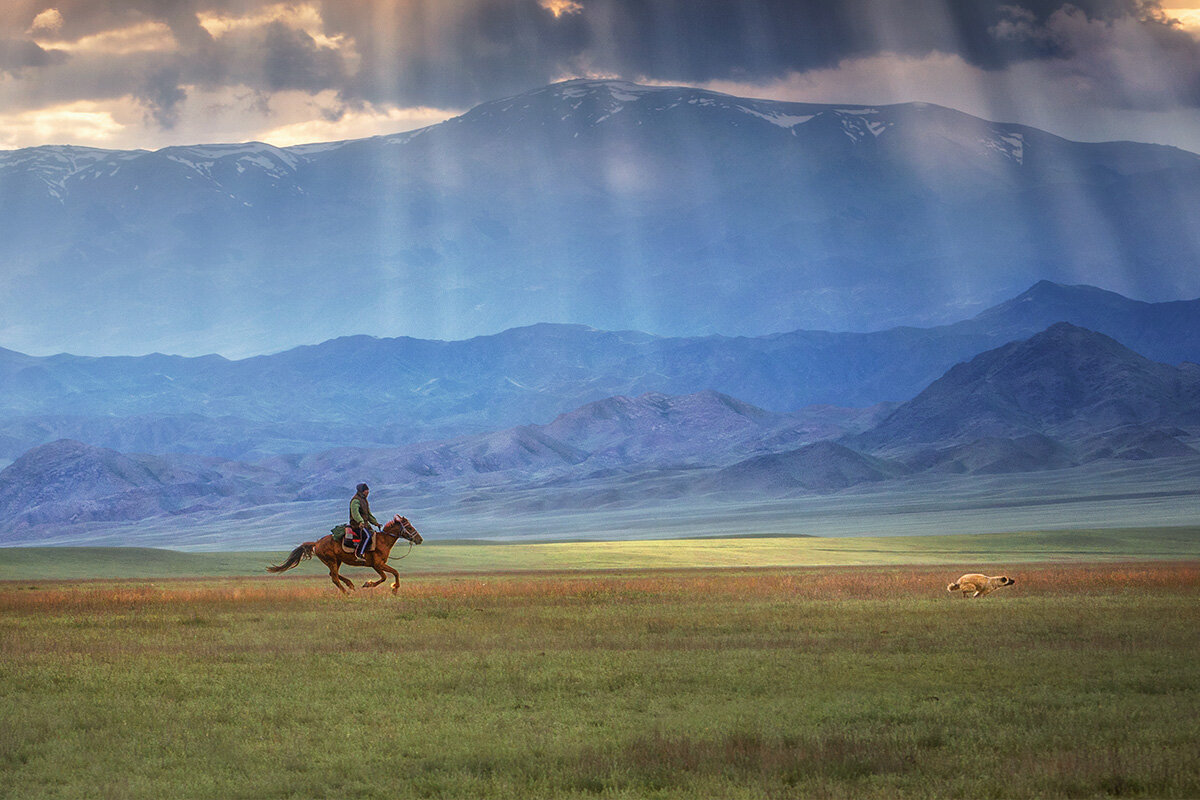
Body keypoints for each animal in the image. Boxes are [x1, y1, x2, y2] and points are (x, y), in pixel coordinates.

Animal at [267, 515, 422, 592]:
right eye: (409, 527)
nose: (420, 539)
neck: (383, 540)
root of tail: (316, 543)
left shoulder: (378, 565)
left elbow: (393, 574)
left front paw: (393, 588)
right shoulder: (377, 565)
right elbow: (389, 575)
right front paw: (373, 585)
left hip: (337, 560)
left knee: (332, 574)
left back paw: (350, 585)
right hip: (331, 560)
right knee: (334, 578)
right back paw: (346, 592)